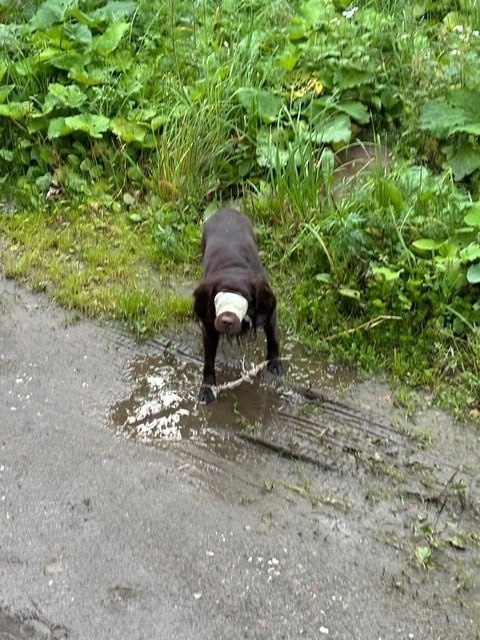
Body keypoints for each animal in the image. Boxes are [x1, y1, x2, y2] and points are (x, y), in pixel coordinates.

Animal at [194, 208, 282, 402]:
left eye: (246, 298)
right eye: (218, 296)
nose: (227, 320)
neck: (234, 268)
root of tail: (225, 209)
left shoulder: (269, 312)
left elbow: (273, 338)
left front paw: (275, 363)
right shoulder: (210, 325)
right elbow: (208, 360)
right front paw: (207, 389)